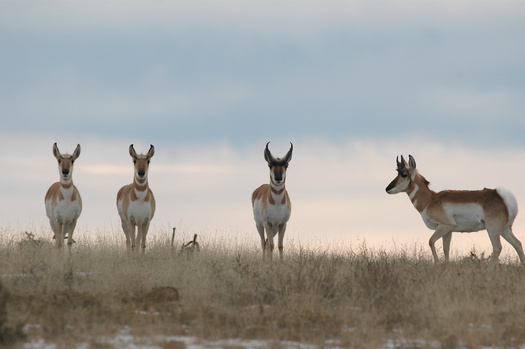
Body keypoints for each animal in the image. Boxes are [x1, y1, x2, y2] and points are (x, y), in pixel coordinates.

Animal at [384, 155, 524, 264]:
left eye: (404, 174)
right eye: (397, 172)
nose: (387, 188)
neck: (430, 200)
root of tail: (500, 196)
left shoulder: (444, 226)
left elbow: (431, 242)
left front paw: (437, 263)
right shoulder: (448, 231)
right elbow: (446, 249)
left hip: (493, 229)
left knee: (497, 248)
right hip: (505, 229)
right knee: (518, 244)